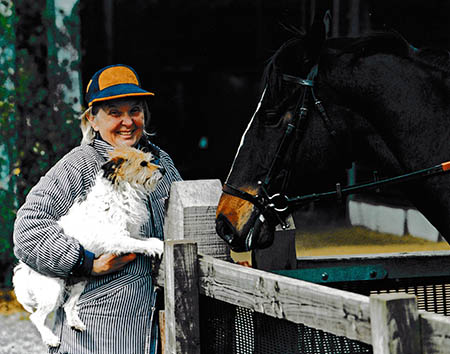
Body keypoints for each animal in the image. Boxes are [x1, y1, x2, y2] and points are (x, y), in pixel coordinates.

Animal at [13, 145, 165, 348]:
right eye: (143, 163)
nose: (163, 170)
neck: (123, 191)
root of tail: (26, 268)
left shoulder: (130, 233)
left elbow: (146, 240)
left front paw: (158, 243)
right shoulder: (117, 238)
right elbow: (139, 244)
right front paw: (158, 248)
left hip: (79, 281)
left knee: (68, 306)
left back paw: (76, 324)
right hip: (53, 290)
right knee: (37, 317)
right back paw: (51, 339)